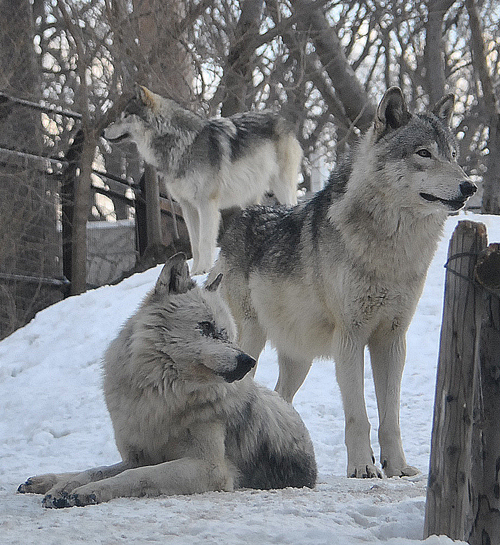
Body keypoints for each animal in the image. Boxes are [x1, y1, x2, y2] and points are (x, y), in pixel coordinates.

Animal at [20, 253, 316, 508]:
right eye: (206, 327)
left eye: (228, 334)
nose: (248, 361)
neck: (161, 396)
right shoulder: (136, 457)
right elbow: (96, 470)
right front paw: (64, 488)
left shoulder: (209, 467)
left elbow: (137, 475)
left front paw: (88, 492)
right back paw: (41, 481)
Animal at [101, 88, 300, 276]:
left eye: (125, 116)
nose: (103, 131)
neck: (181, 143)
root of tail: (281, 118)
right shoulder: (187, 207)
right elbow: (195, 244)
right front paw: (194, 271)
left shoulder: (207, 204)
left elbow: (204, 241)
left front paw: (203, 270)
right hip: (249, 198)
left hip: (282, 187)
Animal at [211, 88, 476, 480]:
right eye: (424, 153)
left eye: (453, 155)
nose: (469, 186)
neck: (392, 251)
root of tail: (241, 219)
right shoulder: (349, 338)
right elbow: (358, 416)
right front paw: (363, 467)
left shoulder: (392, 339)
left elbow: (390, 417)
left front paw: (397, 467)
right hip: (251, 342)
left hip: (299, 358)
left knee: (280, 395)